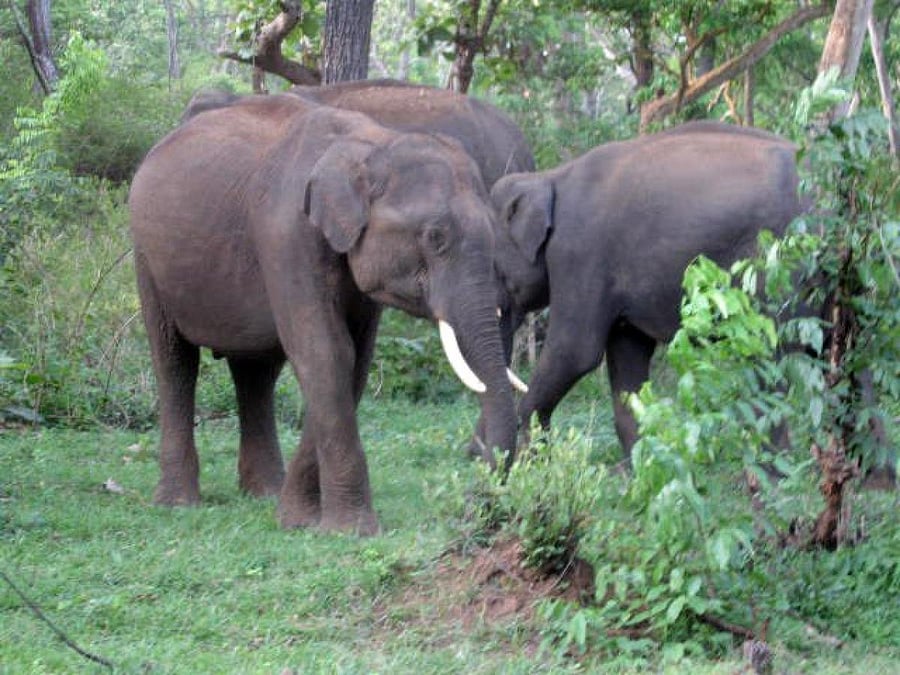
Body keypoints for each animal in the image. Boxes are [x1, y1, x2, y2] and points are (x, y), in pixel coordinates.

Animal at [129, 92, 519, 533]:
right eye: (435, 237)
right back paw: (178, 503)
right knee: (174, 361)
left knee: (255, 371)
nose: (473, 504)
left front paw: (296, 519)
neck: (374, 143)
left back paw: (264, 493)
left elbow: (354, 361)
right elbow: (328, 353)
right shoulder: (286, 235)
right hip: (146, 256)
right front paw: (350, 530)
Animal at [487, 120, 803, 457]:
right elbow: (627, 359)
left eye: (490, 264)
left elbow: (574, 352)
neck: (549, 178)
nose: (480, 454)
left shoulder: (579, 252)